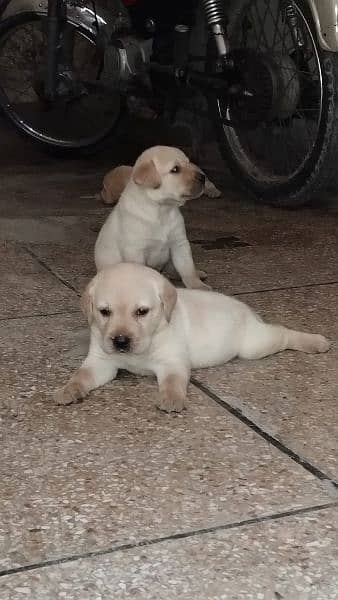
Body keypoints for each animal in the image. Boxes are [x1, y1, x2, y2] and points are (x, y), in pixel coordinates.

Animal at [54, 262, 328, 412]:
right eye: (104, 312)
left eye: (142, 311)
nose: (121, 341)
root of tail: (249, 311)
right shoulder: (101, 362)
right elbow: (81, 375)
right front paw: (68, 389)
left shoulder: (172, 362)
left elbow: (173, 381)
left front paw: (172, 399)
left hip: (254, 345)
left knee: (283, 333)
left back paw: (316, 342)